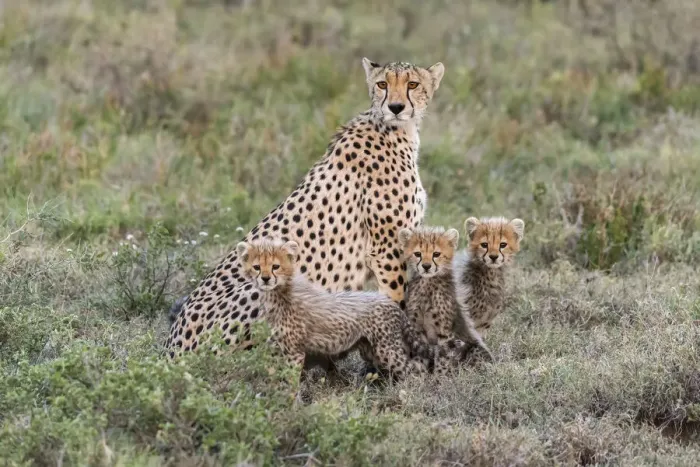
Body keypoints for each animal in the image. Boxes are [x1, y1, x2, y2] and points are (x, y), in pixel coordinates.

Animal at [165, 58, 445, 360]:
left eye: (412, 84)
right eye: (382, 84)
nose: (395, 107)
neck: (396, 130)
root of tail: (169, 348)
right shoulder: (387, 250)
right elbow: (396, 302)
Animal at [237, 238, 431, 381]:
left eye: (275, 266)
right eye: (257, 267)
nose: (265, 278)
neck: (279, 292)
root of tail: (389, 302)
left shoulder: (294, 351)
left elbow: (290, 382)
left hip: (387, 349)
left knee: (414, 371)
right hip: (369, 348)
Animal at [399, 226, 493, 374]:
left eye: (436, 254)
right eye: (418, 254)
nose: (426, 266)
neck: (427, 284)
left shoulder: (444, 332)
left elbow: (444, 356)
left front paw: (440, 376)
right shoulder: (417, 328)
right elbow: (421, 354)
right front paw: (420, 375)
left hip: (475, 348)